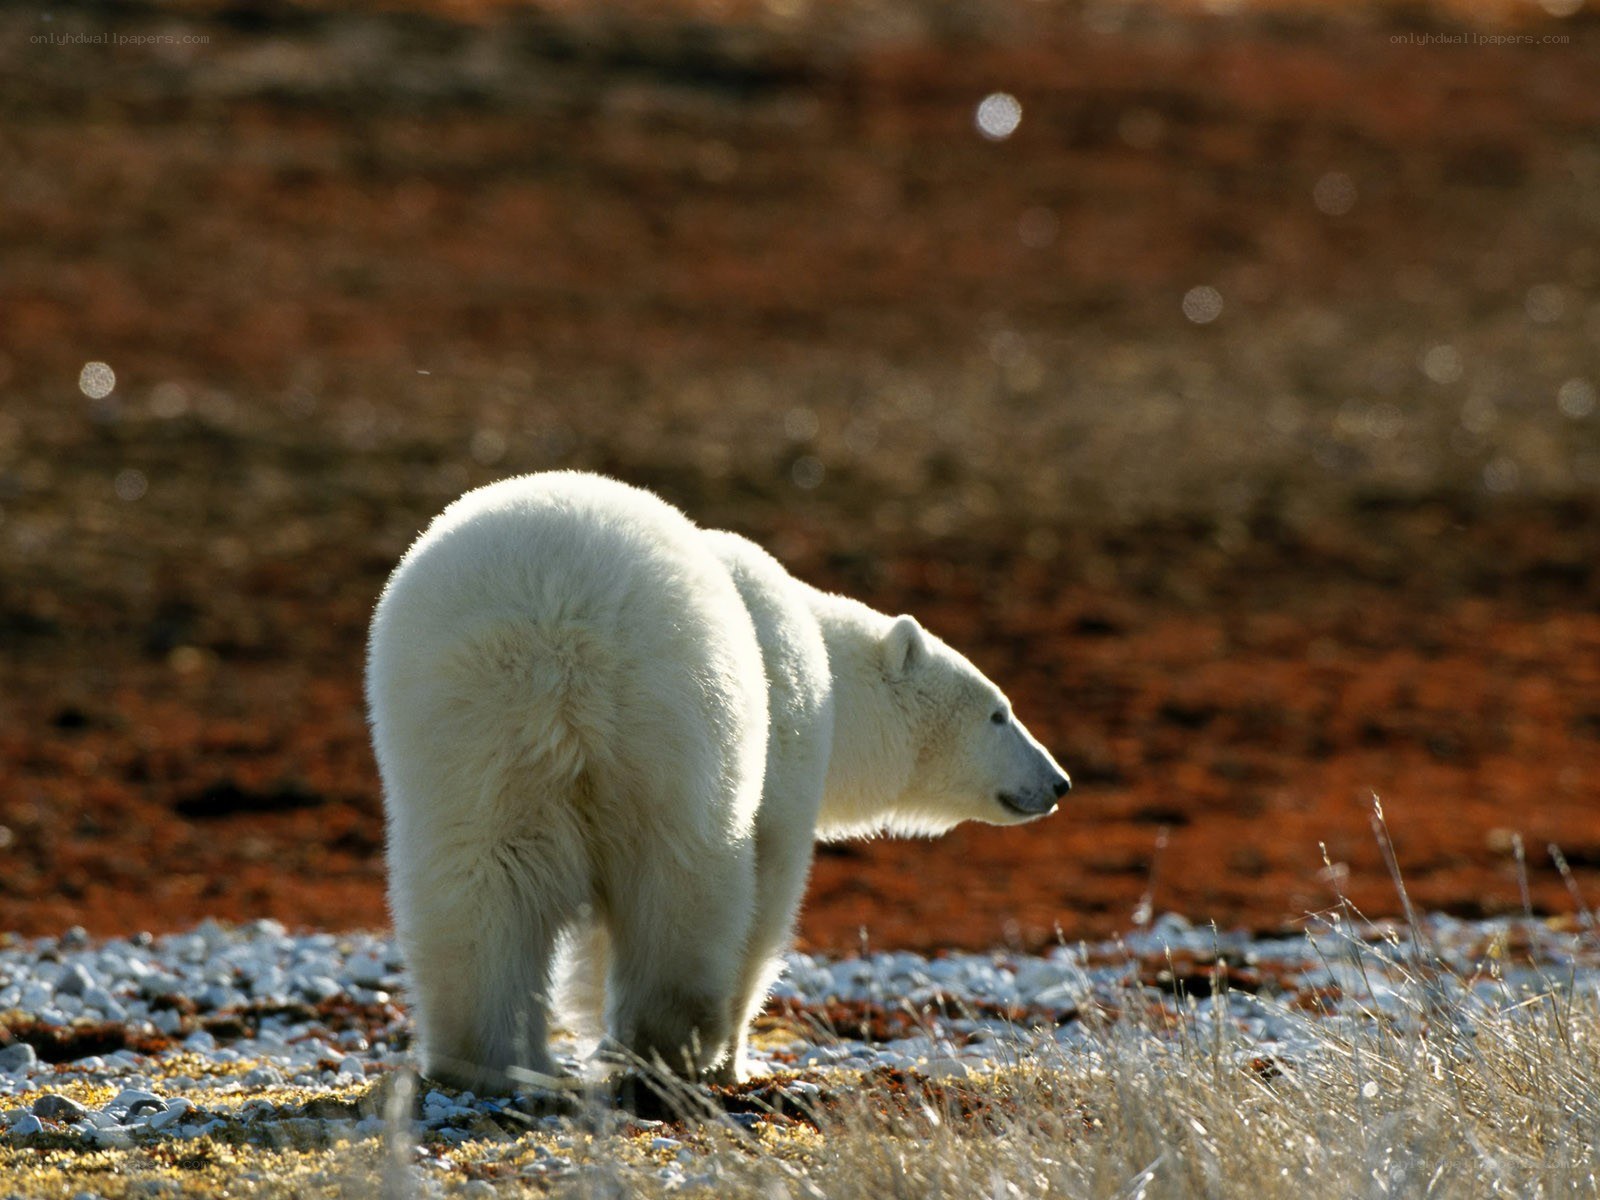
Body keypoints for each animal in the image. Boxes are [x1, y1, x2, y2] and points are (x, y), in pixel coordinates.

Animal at [366, 471, 1070, 1093]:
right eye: (999, 712)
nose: (1058, 782)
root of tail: (556, 631)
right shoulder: (786, 740)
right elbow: (767, 899)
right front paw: (736, 1058)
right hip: (676, 723)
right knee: (683, 878)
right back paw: (672, 1048)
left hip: (459, 729)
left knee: (475, 881)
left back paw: (492, 1059)